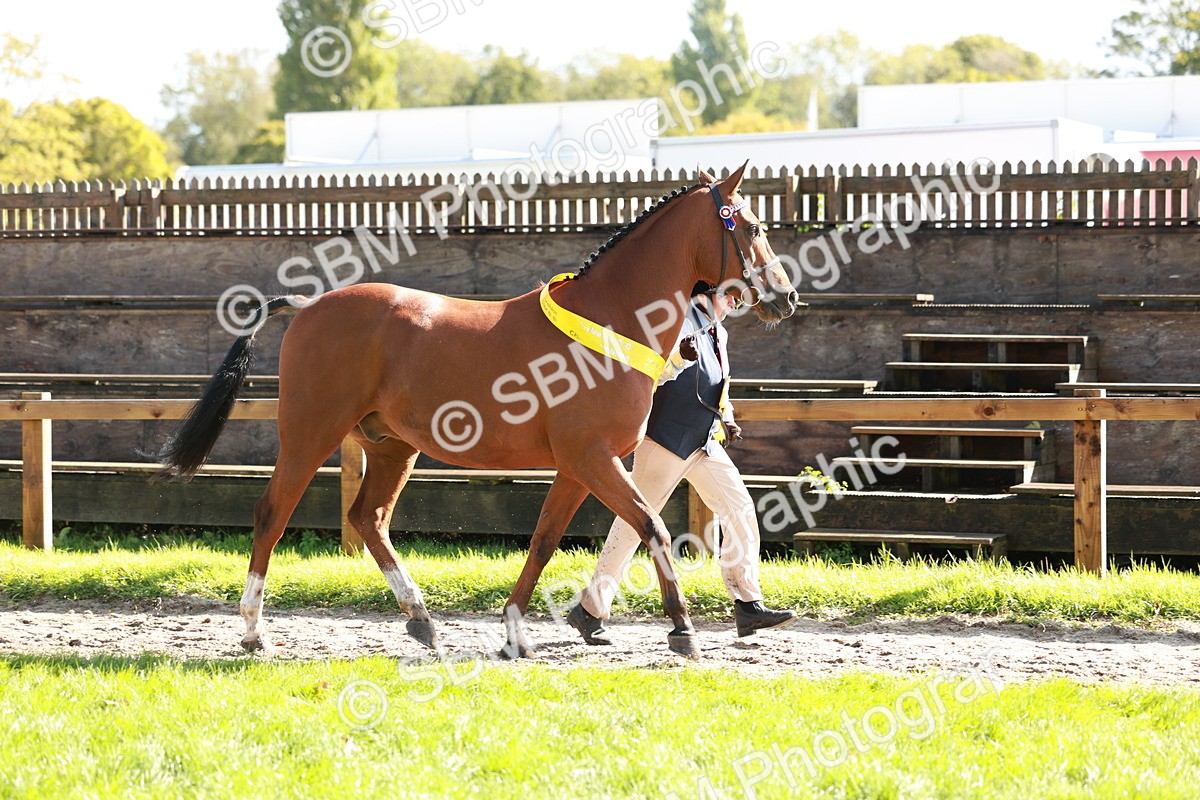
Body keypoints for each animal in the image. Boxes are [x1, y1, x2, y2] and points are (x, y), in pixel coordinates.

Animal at [155, 163, 800, 659]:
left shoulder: (577, 466)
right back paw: (254, 632)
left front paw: (516, 630)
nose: (787, 296)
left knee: (369, 519)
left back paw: (421, 620)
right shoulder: (591, 457)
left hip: (392, 446)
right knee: (273, 513)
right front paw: (683, 630)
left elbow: (544, 540)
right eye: (752, 225)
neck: (611, 318)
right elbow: (651, 526)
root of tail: (309, 305)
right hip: (310, 434)